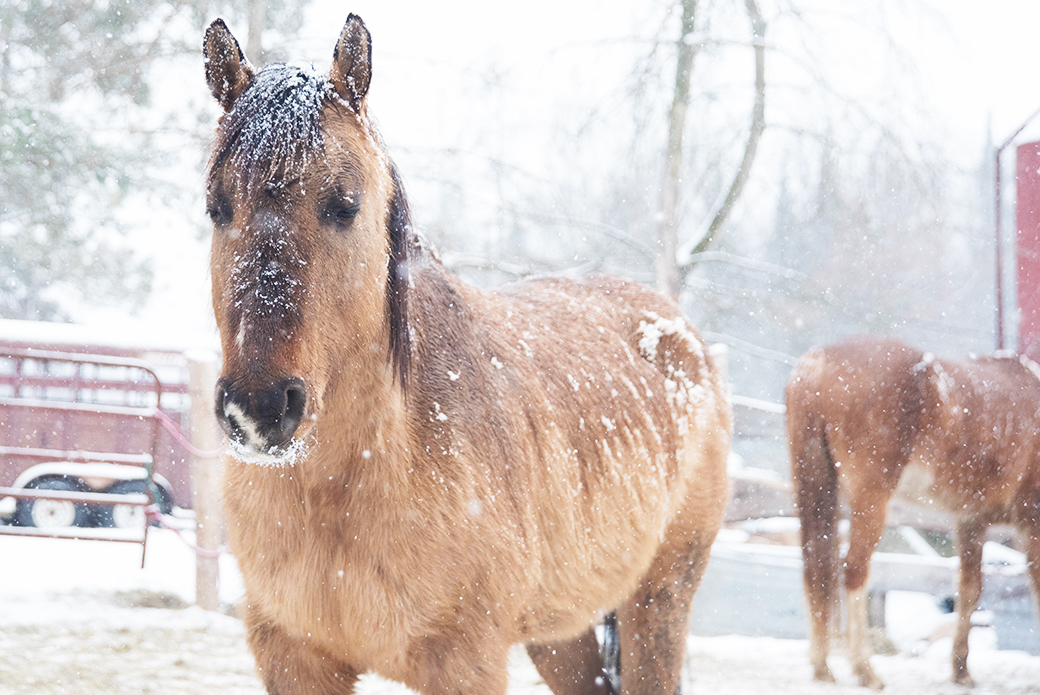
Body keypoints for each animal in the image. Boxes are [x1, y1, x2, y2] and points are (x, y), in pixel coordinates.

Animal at [202, 12, 732, 695]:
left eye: (344, 205)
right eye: (217, 208)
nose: (260, 410)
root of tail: (683, 337)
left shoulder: (465, 659)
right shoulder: (293, 655)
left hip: (658, 600)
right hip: (562, 633)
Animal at [786, 332, 1040, 686]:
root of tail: (818, 362)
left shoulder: (971, 521)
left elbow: (970, 590)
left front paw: (961, 671)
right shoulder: (1031, 523)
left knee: (817, 569)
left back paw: (822, 666)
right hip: (870, 503)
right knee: (854, 571)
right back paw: (865, 670)